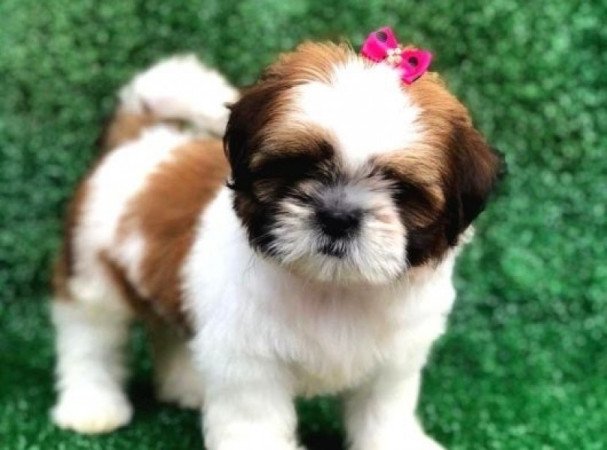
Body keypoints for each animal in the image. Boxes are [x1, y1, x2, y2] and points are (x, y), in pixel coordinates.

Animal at [51, 33, 502, 450]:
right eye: (295, 166)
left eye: (402, 188)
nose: (337, 217)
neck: (334, 286)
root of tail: (140, 138)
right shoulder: (248, 359)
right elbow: (254, 414)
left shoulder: (396, 355)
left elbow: (385, 407)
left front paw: (395, 442)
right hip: (90, 272)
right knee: (90, 338)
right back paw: (91, 405)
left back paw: (186, 385)